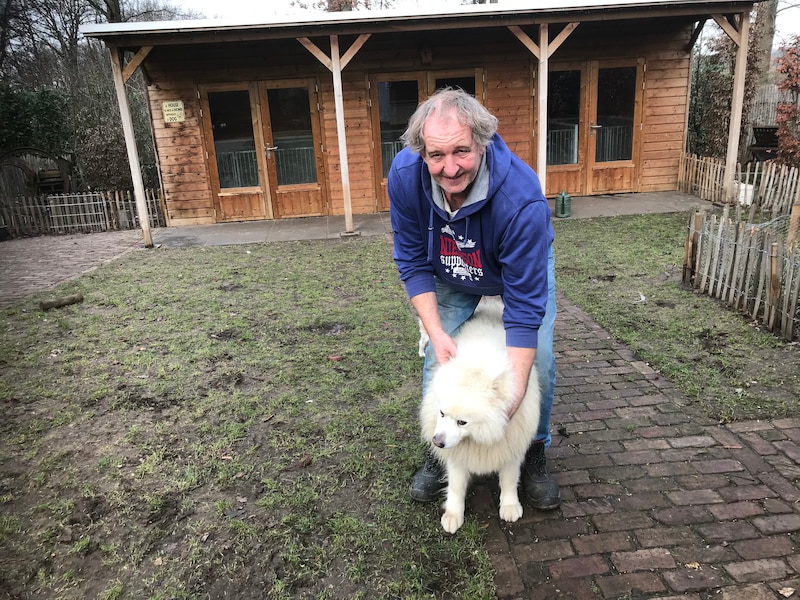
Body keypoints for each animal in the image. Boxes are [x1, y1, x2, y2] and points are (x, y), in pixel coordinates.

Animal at [419, 299, 540, 534]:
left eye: (462, 422)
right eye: (441, 413)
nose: (437, 442)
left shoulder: (511, 444)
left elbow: (509, 480)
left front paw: (510, 506)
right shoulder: (457, 454)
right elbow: (456, 486)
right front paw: (453, 515)